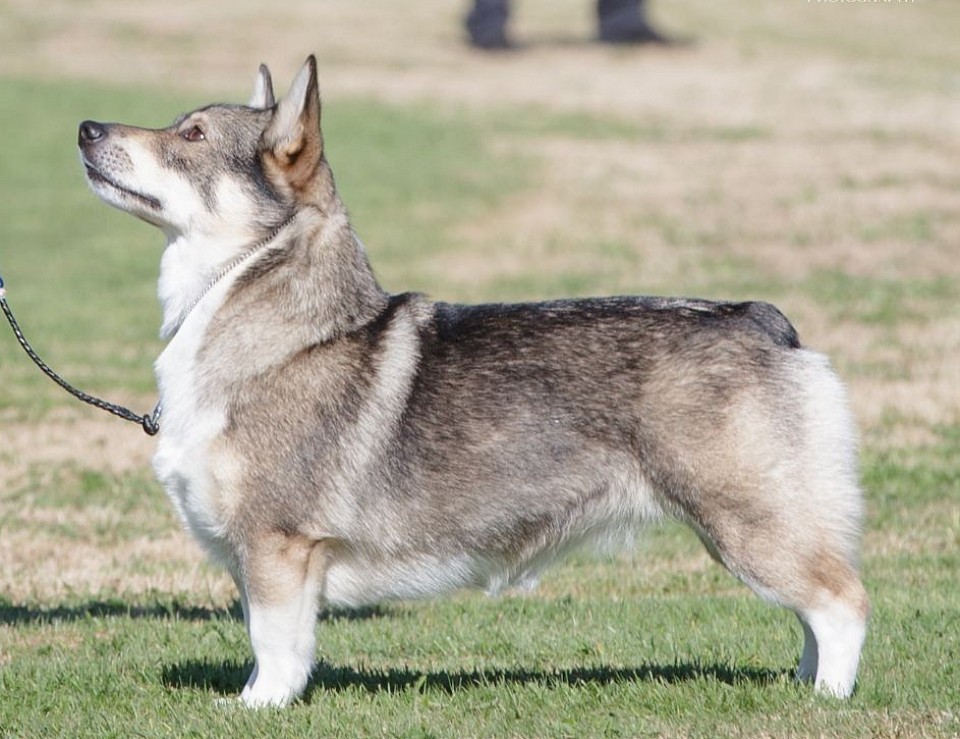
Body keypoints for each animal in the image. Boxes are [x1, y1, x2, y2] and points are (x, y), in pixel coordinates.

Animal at [77, 56, 872, 704]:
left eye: (193, 136)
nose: (84, 127)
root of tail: (763, 320)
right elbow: (286, 641)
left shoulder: (278, 545)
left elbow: (273, 645)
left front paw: (256, 708)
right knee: (815, 610)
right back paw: (800, 684)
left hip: (748, 522)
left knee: (842, 601)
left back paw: (827, 698)